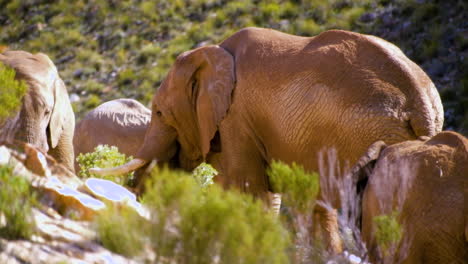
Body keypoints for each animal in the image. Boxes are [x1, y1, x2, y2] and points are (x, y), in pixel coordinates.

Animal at [90, 26, 442, 250]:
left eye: (161, 113)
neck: (209, 56)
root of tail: (422, 107)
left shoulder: (237, 119)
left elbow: (246, 188)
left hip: (373, 134)